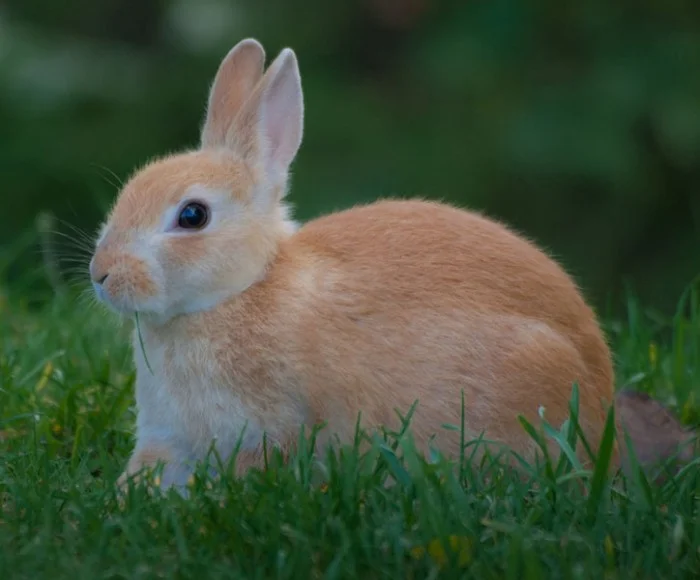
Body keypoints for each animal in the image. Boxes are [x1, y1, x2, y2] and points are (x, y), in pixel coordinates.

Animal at [89, 38, 618, 491]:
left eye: (192, 216)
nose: (101, 274)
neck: (241, 290)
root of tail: (601, 397)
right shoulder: (169, 436)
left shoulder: (267, 428)